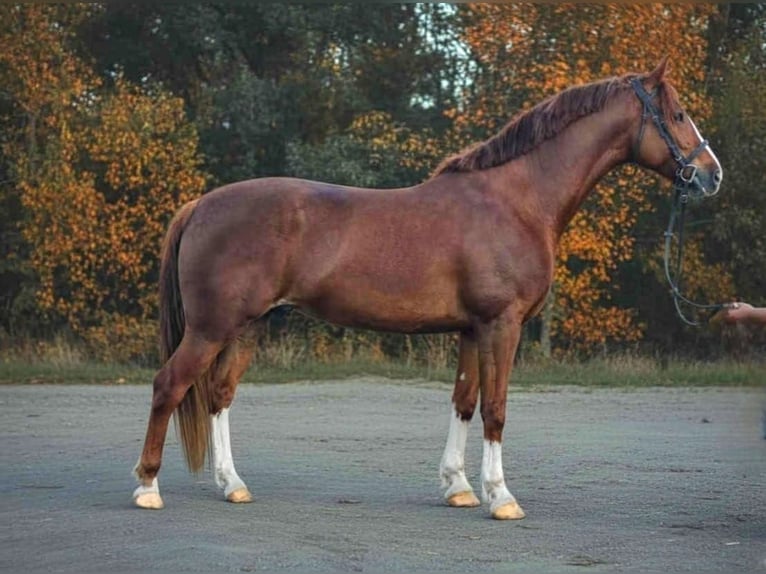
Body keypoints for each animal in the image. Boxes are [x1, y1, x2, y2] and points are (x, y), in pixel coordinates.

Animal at [132, 58, 722, 519]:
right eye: (677, 115)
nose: (711, 174)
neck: (516, 201)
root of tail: (200, 205)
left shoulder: (471, 329)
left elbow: (463, 401)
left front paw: (458, 488)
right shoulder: (502, 325)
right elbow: (496, 409)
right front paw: (501, 497)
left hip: (246, 327)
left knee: (218, 395)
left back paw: (233, 486)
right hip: (211, 328)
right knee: (169, 385)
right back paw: (148, 488)